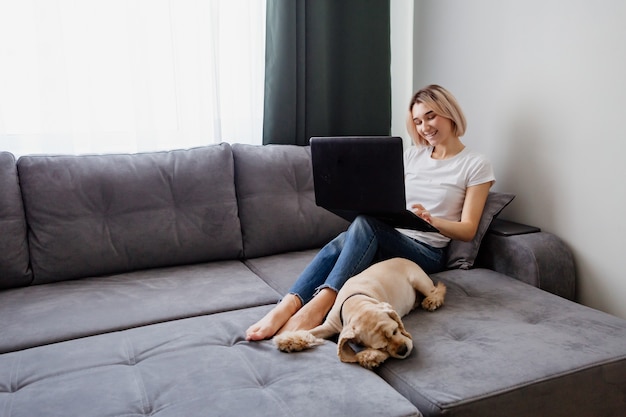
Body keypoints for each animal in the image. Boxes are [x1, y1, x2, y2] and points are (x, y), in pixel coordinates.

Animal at [272, 256, 444, 368]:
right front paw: (288, 341)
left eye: (395, 331)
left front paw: (370, 357)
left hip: (418, 280)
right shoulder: (330, 325)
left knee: (438, 288)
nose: (404, 350)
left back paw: (432, 301)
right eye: (381, 346)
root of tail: (406, 258)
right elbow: (310, 332)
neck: (355, 303)